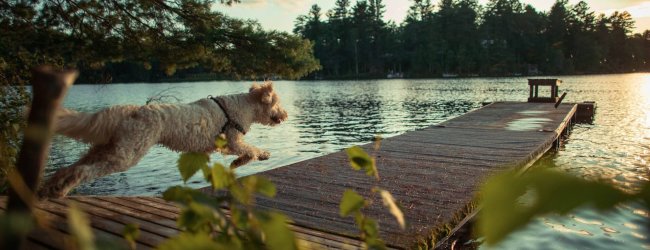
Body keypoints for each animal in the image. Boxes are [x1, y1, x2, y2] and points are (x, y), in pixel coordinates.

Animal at [37, 83, 286, 198]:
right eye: (277, 103)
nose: (285, 115)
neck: (243, 107)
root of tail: (131, 111)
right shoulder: (232, 141)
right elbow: (251, 150)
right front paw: (259, 156)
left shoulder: (212, 149)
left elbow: (244, 154)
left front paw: (238, 163)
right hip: (126, 155)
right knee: (83, 171)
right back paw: (60, 190)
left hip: (107, 148)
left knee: (70, 168)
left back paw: (51, 188)